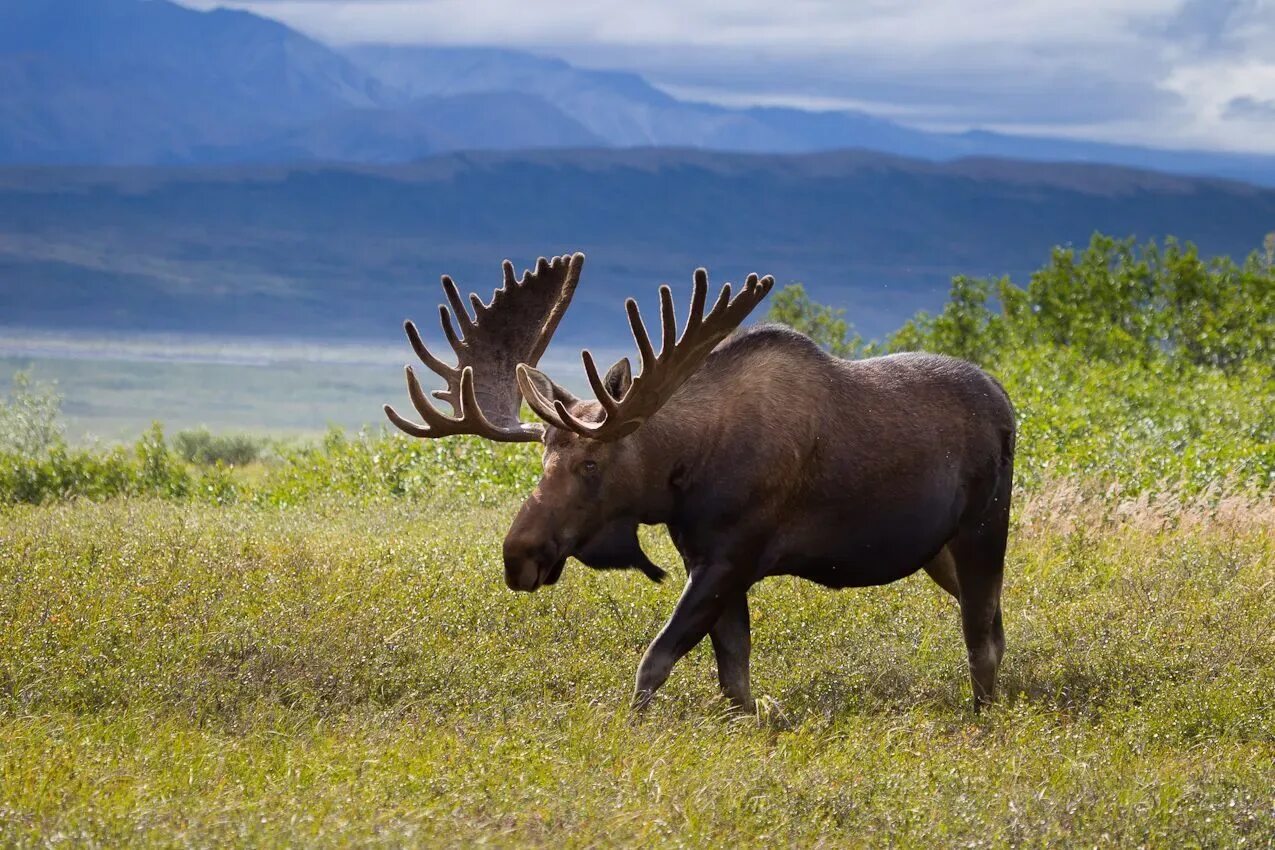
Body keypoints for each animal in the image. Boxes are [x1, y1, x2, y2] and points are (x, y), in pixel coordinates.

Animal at [385, 251, 1014, 713]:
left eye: (591, 465)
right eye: (542, 460)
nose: (519, 554)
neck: (680, 477)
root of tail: (1008, 404)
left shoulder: (732, 557)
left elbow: (655, 661)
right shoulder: (704, 559)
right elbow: (733, 678)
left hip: (983, 530)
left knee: (980, 639)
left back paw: (982, 717)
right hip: (938, 553)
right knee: (996, 627)